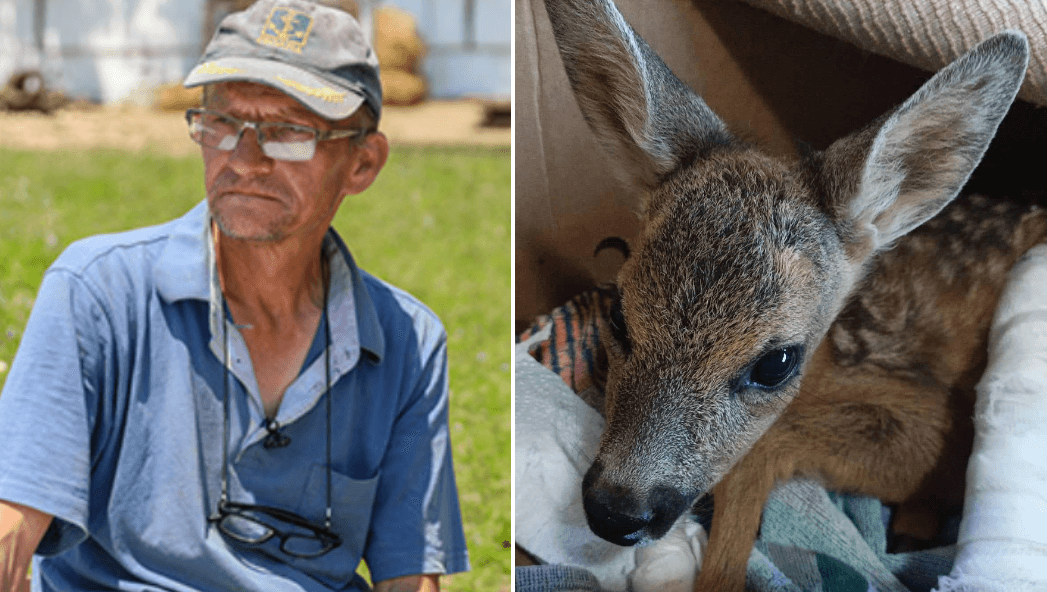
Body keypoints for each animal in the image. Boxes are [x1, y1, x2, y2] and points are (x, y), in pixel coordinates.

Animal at [540, 0, 1047, 586]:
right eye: (618, 315)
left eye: (775, 364)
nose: (616, 513)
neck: (830, 362)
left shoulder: (940, 420)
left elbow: (765, 450)